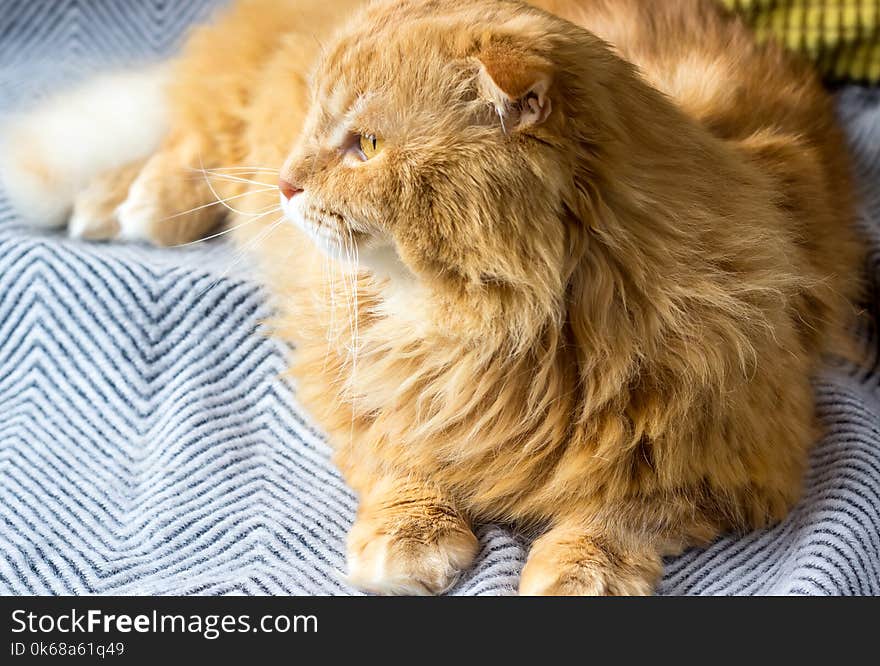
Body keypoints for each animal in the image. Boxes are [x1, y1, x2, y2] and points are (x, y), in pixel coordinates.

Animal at [0, 0, 864, 592]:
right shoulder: (357, 373)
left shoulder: (739, 446)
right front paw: (411, 540)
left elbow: (622, 508)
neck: (508, 331)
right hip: (233, 117)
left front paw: (576, 570)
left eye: (366, 146)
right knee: (195, 143)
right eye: (323, 129)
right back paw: (128, 203)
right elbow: (404, 457)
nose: (288, 182)